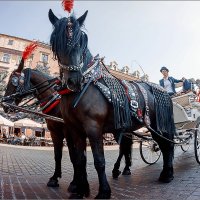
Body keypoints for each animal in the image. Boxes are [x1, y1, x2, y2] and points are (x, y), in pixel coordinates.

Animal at [48, 9, 175, 198]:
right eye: (57, 42)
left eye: (81, 43)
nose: (74, 81)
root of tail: (164, 92)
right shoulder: (75, 129)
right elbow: (79, 160)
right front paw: (80, 190)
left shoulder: (93, 127)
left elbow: (99, 161)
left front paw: (103, 192)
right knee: (161, 146)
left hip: (159, 126)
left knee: (166, 146)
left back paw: (167, 174)